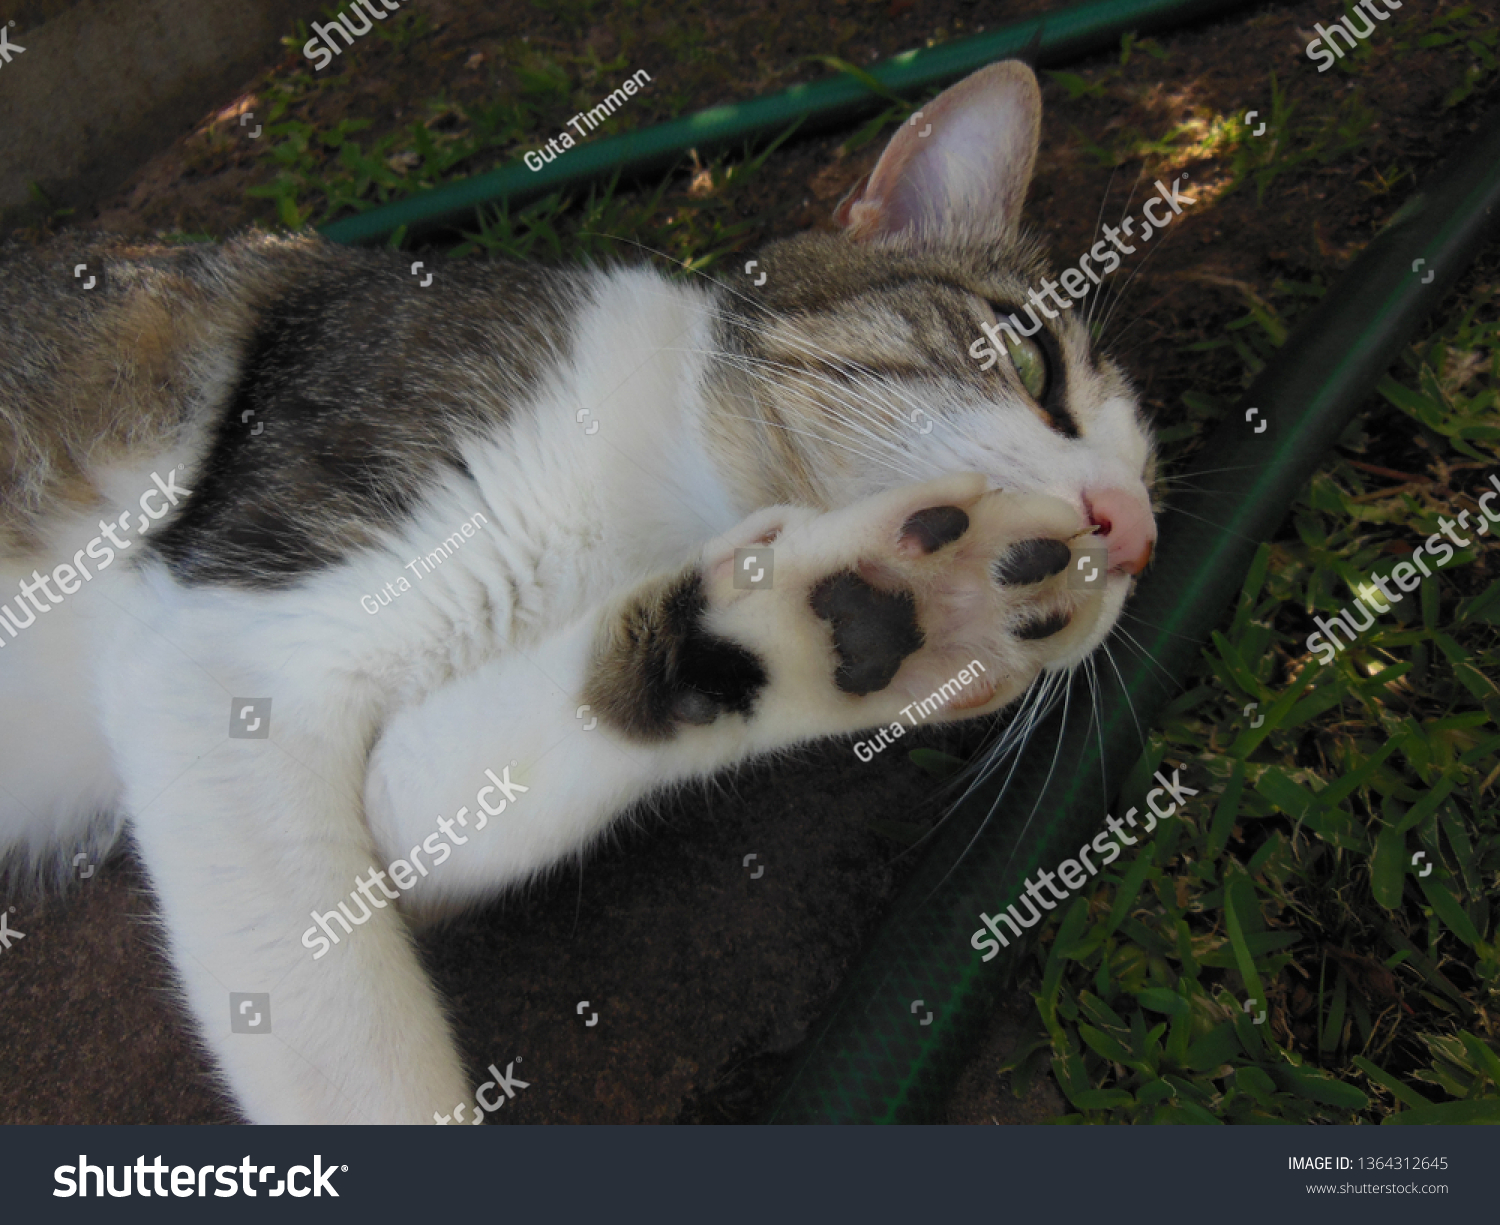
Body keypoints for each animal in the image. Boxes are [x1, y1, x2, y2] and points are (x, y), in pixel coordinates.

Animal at [0, 62, 1158, 1121]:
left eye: (1150, 484)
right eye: (1032, 360)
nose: (1135, 534)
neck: (652, 494)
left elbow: (427, 805)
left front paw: (840, 620)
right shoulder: (217, 644)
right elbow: (349, 1048)